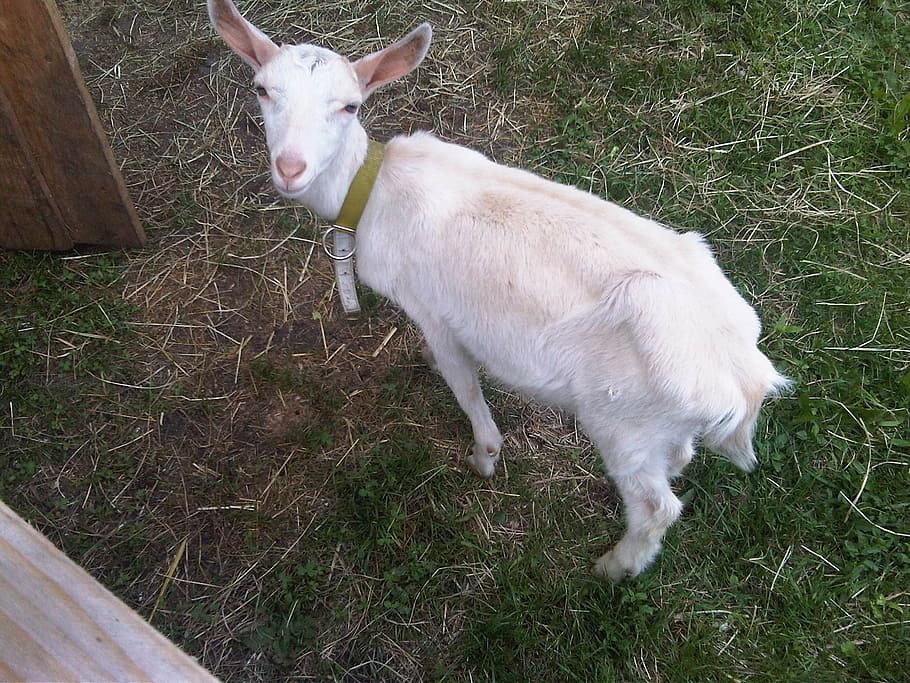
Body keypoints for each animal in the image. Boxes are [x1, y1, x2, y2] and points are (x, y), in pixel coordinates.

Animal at [208, 0, 790, 581]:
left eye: (350, 106)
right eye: (262, 89)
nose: (290, 168)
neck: (373, 193)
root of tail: (746, 379)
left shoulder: (436, 312)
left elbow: (466, 389)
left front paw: (483, 458)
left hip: (623, 425)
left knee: (656, 506)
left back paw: (612, 567)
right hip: (656, 427)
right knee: (679, 460)